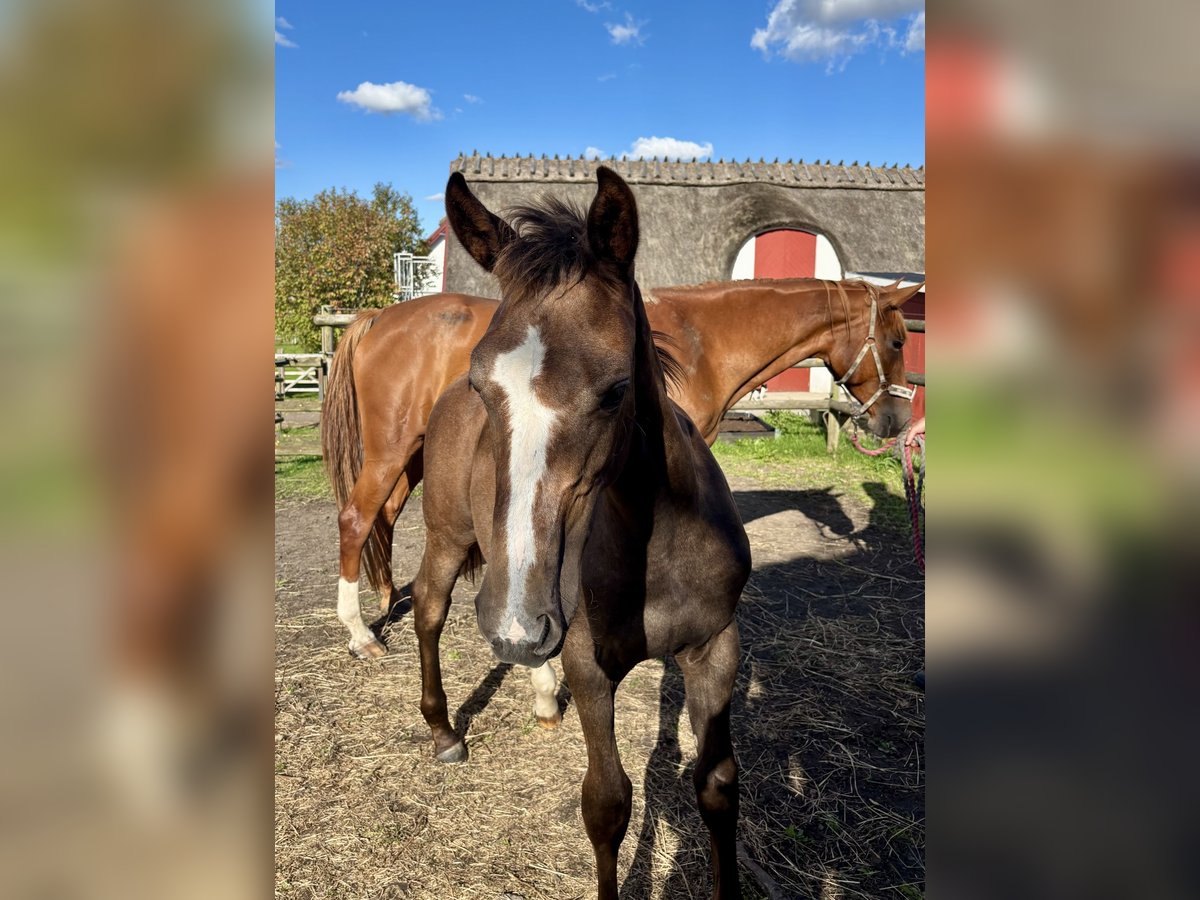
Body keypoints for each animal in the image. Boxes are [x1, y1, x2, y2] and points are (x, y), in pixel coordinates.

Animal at [323, 280, 918, 660]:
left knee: (386, 517)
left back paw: (386, 600)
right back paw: (359, 632)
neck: (699, 340)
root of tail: (379, 319)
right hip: (392, 448)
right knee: (356, 518)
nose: (895, 419)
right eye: (897, 340)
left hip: (415, 454)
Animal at [415, 165, 751, 899]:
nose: (517, 626)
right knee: (427, 608)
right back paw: (444, 731)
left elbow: (716, 785)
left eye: (616, 388)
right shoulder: (589, 665)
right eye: (484, 384)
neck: (658, 545)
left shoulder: (716, 649)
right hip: (452, 540)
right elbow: (607, 802)